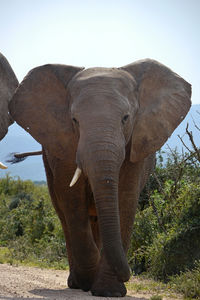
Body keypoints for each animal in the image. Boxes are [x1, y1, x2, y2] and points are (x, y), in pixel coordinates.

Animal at [8, 59, 191, 296]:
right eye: (74, 120)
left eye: (125, 118)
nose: (129, 273)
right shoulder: (63, 145)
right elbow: (72, 200)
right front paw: (89, 281)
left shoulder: (136, 143)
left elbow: (125, 198)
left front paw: (109, 291)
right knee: (65, 216)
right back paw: (77, 282)